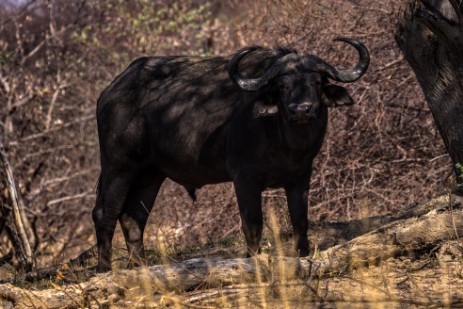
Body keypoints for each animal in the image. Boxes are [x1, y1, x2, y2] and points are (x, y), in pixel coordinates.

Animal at [93, 37, 370, 270]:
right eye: (283, 85)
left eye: (316, 82)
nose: (301, 109)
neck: (284, 140)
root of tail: (109, 92)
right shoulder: (244, 178)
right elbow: (253, 224)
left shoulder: (301, 177)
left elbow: (300, 221)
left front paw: (303, 255)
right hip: (118, 167)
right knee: (104, 214)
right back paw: (104, 268)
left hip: (150, 174)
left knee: (133, 217)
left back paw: (141, 267)